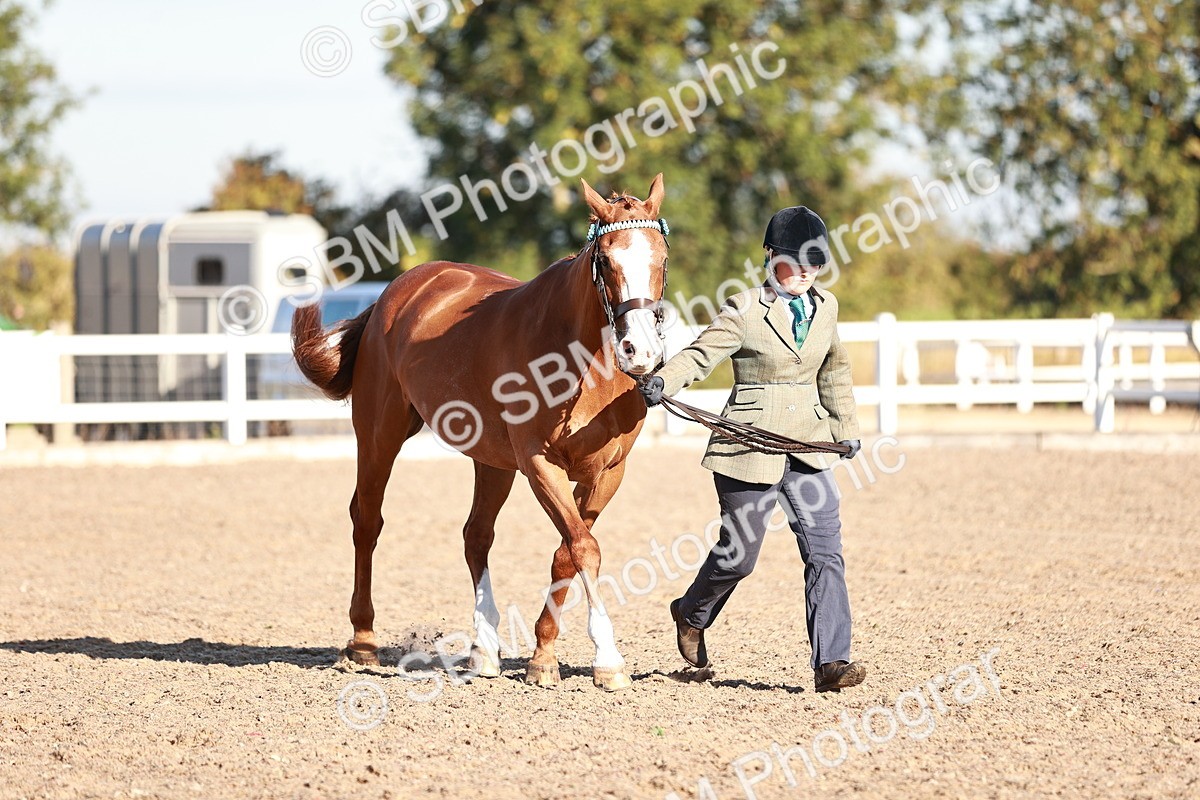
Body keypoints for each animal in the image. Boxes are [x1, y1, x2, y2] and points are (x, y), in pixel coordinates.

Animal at [291, 174, 670, 691]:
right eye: (607, 261)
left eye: (662, 259)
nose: (641, 352)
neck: (583, 363)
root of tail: (397, 292)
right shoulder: (539, 463)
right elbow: (584, 549)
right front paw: (608, 660)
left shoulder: (608, 472)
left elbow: (567, 553)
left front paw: (543, 656)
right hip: (378, 437)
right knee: (367, 522)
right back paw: (364, 641)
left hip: (491, 462)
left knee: (476, 536)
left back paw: (484, 650)